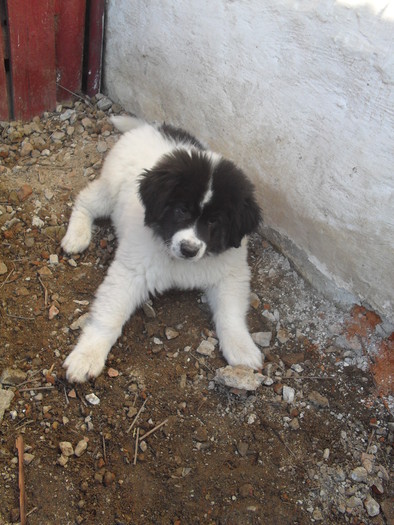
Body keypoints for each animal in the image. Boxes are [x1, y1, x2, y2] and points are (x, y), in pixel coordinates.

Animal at [61, 117, 264, 380]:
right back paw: (77, 236)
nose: (189, 249)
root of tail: (150, 126)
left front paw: (242, 348)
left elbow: (231, 314)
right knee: (85, 200)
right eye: (181, 210)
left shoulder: (231, 272)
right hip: (109, 191)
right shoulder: (131, 272)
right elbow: (109, 316)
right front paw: (87, 355)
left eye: (214, 221)